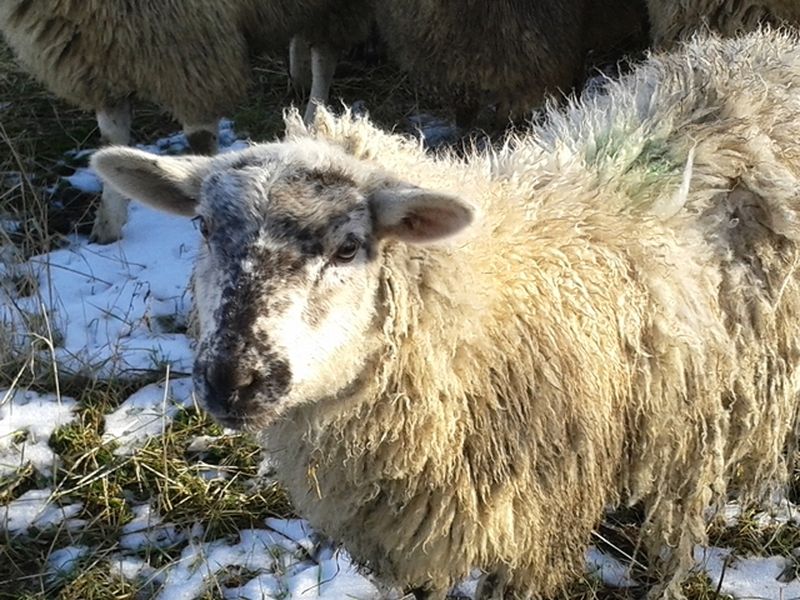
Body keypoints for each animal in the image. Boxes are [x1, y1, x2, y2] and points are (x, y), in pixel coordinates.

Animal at [0, 0, 372, 244]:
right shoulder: (100, 68)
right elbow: (110, 142)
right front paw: (107, 226)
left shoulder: (191, 55)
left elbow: (200, 141)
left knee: (325, 54)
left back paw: (312, 115)